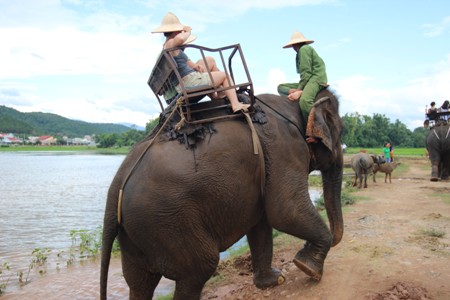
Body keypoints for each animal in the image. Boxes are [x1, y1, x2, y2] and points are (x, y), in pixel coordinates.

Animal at [100, 89, 342, 300]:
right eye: (341, 132)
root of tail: (116, 185)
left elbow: (262, 225)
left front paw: (276, 280)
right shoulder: (284, 149)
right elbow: (285, 212)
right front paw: (308, 269)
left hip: (136, 232)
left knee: (140, 283)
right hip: (166, 221)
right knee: (199, 268)